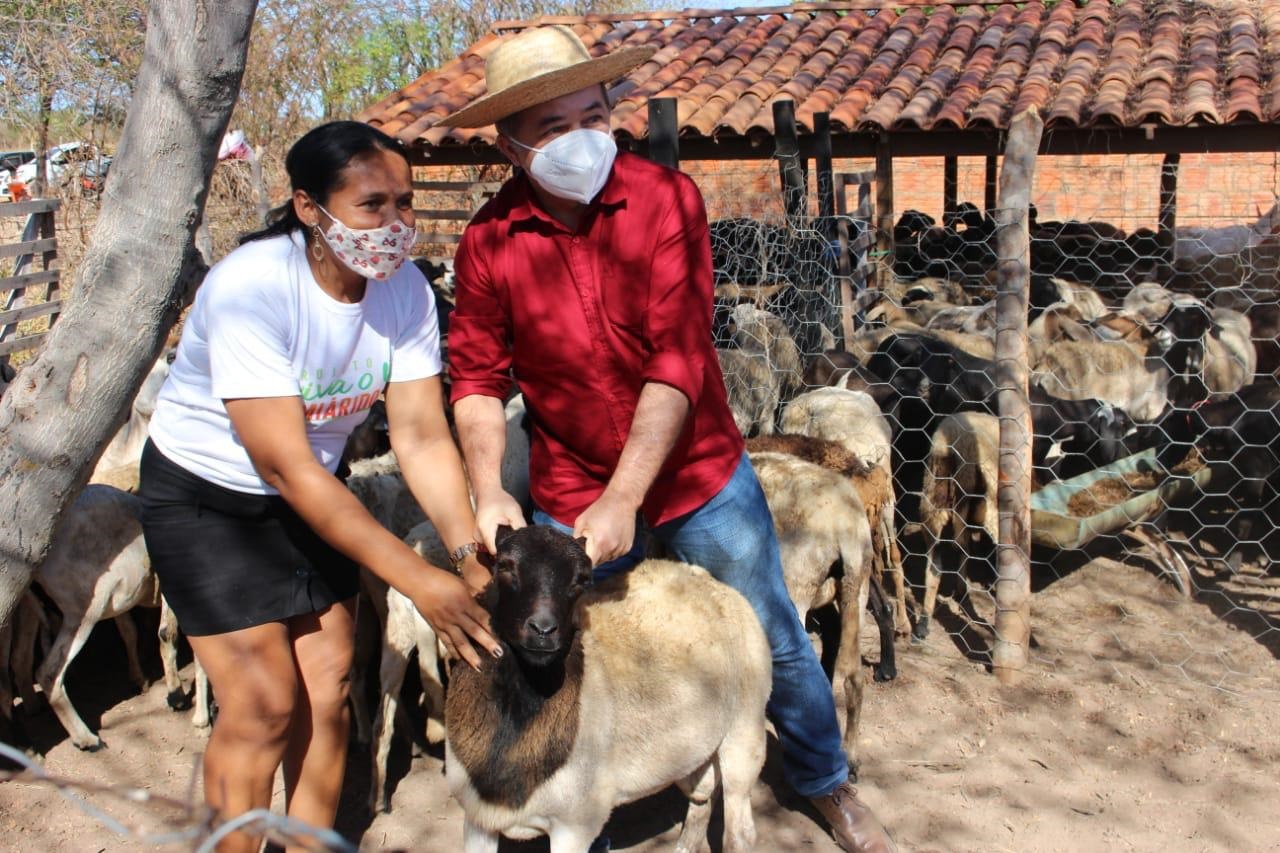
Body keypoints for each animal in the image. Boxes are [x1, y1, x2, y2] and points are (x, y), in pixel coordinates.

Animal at [448, 525, 768, 850]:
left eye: (581, 580)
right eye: (504, 567)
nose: (543, 630)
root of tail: (706, 578)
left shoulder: (575, 825)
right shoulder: (477, 820)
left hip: (745, 729)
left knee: (740, 831)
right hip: (691, 748)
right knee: (702, 796)